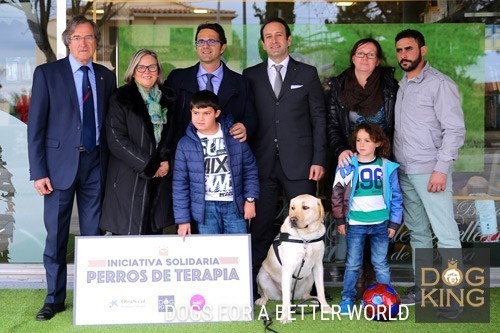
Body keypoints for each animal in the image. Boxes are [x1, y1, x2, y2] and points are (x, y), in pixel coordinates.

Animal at [256, 193, 330, 322]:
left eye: (305, 207)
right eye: (292, 208)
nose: (292, 219)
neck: (306, 238)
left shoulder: (318, 266)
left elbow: (321, 290)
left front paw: (325, 307)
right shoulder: (288, 268)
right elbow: (285, 298)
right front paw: (286, 316)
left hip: (310, 278)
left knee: (305, 295)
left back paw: (313, 300)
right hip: (261, 275)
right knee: (268, 294)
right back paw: (262, 300)